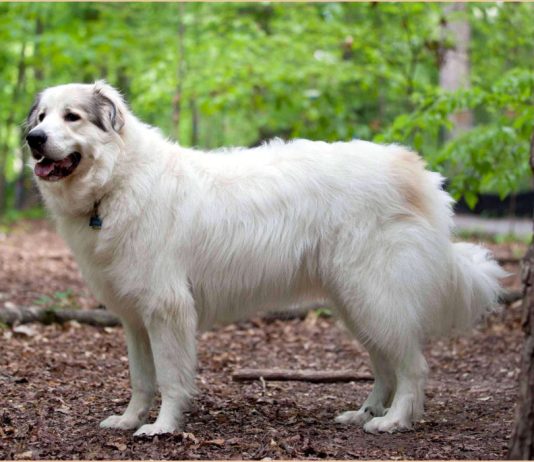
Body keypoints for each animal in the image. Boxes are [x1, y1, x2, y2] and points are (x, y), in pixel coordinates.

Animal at [26, 82, 506, 436]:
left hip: (375, 296)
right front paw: (129, 421)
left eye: (72, 117)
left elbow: (170, 378)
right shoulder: (135, 319)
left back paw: (394, 421)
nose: (33, 140)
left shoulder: (167, 310)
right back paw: (365, 413)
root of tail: (415, 170)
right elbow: (141, 380)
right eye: (41, 117)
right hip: (356, 304)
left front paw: (162, 428)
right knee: (386, 366)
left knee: (413, 368)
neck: (117, 182)